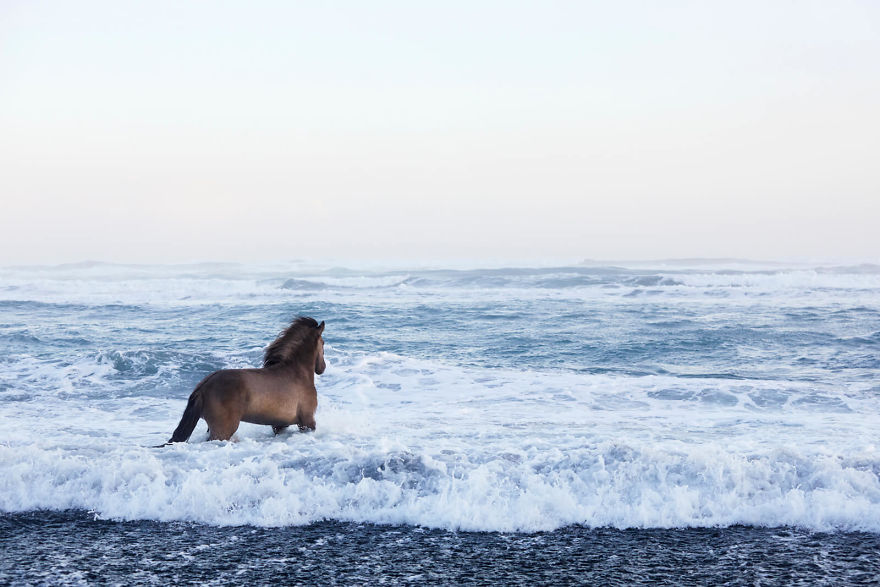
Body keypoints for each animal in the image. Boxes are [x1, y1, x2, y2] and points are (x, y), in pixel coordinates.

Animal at [164, 316, 326, 443]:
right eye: (323, 343)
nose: (322, 368)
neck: (296, 373)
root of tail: (202, 387)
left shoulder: (279, 425)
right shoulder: (307, 421)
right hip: (223, 430)